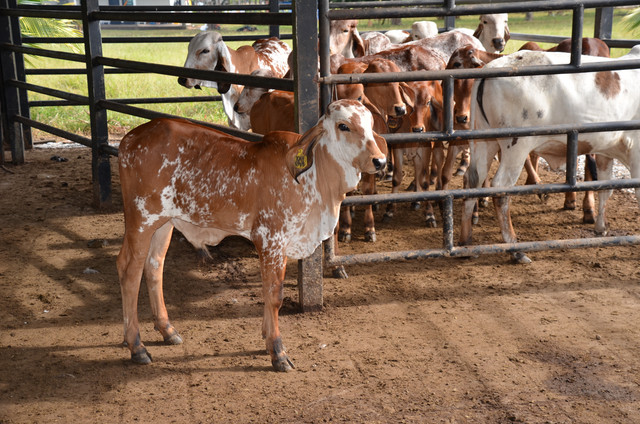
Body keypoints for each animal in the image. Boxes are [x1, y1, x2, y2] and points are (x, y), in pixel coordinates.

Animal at [117, 99, 387, 371]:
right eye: (344, 126)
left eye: (370, 125)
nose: (380, 161)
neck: (312, 178)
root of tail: (130, 138)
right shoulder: (271, 239)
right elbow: (274, 295)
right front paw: (277, 352)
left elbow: (269, 293)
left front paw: (267, 340)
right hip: (142, 219)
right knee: (129, 271)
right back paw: (137, 346)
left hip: (163, 224)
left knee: (154, 266)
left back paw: (167, 330)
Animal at [460, 46, 640, 264]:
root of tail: (492, 68)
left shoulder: (607, 149)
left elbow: (606, 188)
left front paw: (601, 228)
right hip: (516, 146)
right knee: (501, 188)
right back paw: (515, 249)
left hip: (483, 141)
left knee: (472, 180)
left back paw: (465, 243)